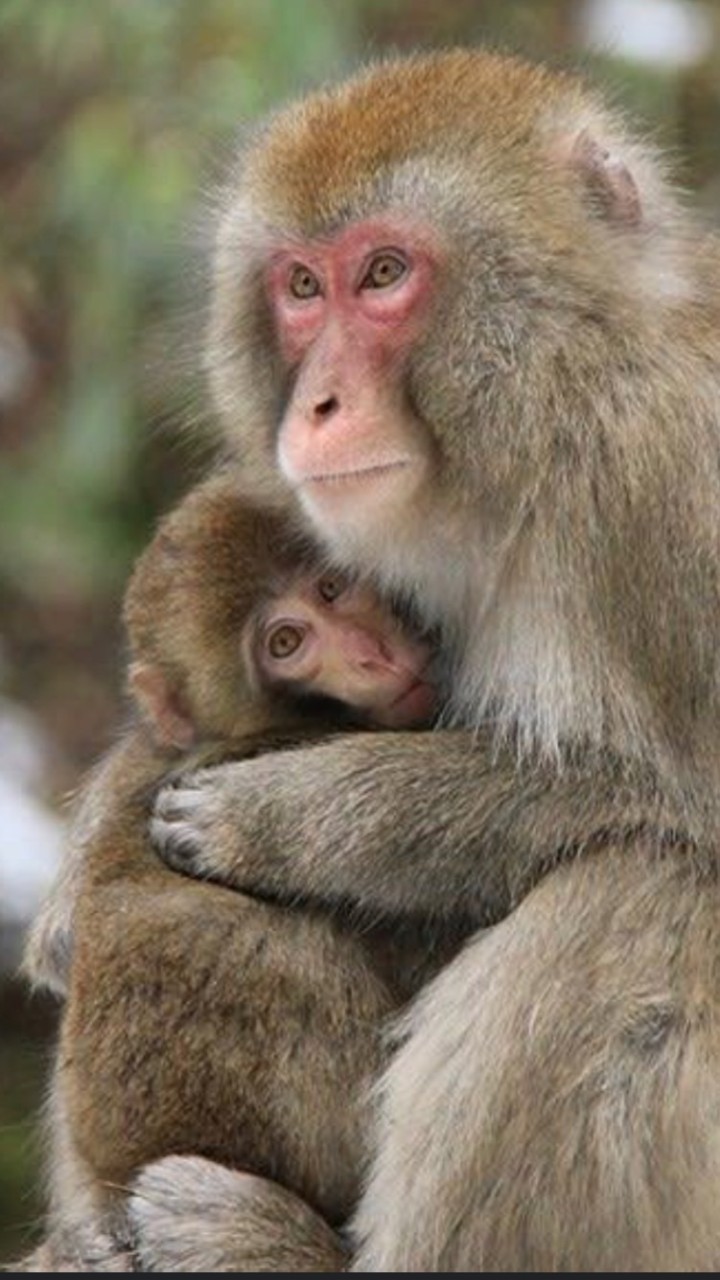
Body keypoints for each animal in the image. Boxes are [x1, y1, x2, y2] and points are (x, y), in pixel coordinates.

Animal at [115, 48, 720, 1273]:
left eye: (386, 273)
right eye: (303, 288)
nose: (319, 403)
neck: (563, 403)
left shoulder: (664, 486)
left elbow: (667, 803)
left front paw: (290, 816)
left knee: (643, 883)